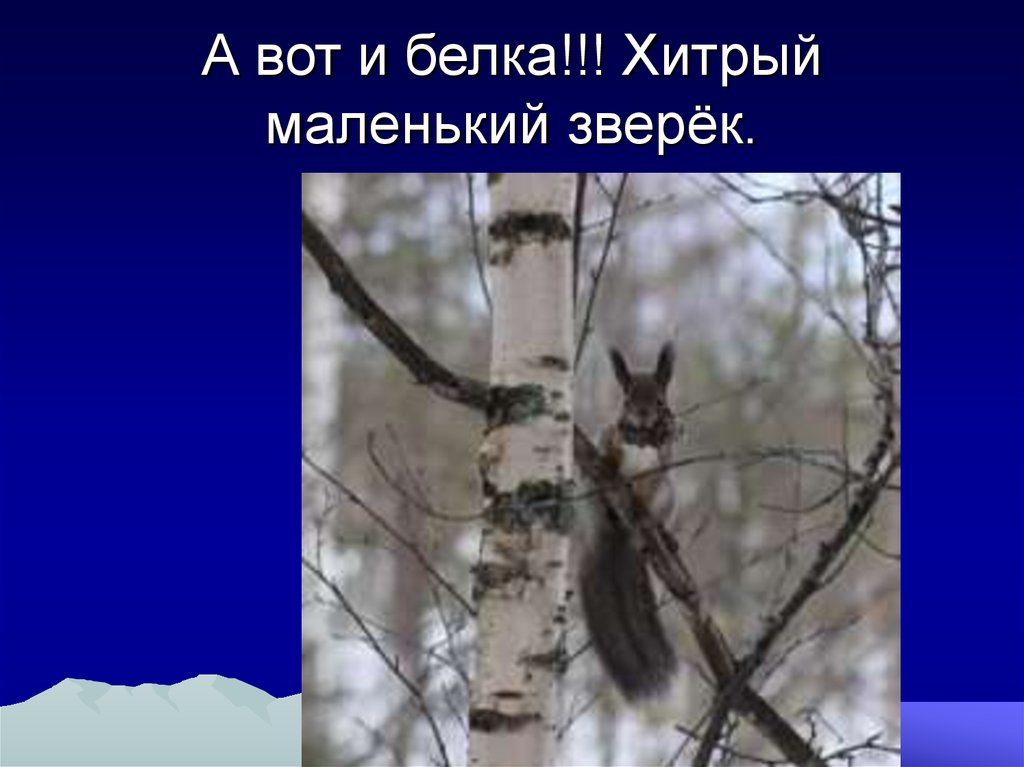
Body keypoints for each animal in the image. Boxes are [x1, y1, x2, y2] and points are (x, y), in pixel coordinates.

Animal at [578, 342, 679, 701]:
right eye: (627, 398)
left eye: (660, 399)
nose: (644, 414)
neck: (643, 438)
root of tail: (619, 537)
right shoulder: (609, 434)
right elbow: (608, 448)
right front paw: (609, 460)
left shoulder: (660, 467)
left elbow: (650, 485)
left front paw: (641, 506)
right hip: (590, 498)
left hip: (670, 495)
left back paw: (663, 532)